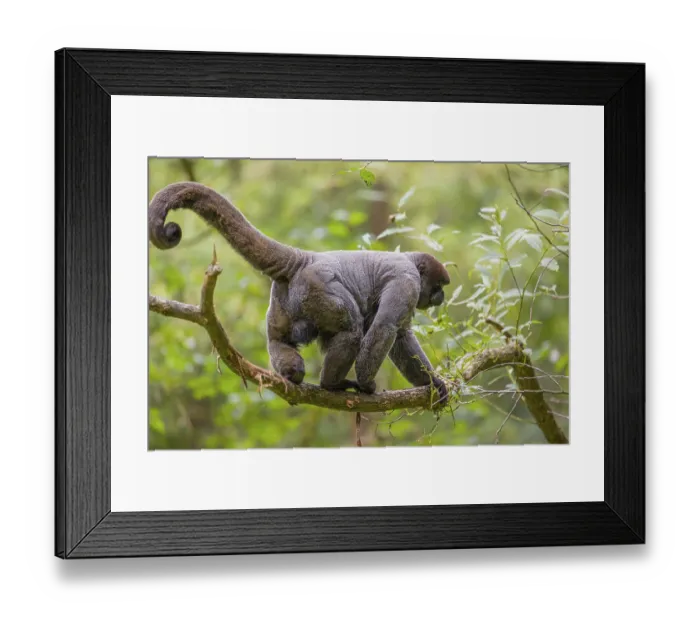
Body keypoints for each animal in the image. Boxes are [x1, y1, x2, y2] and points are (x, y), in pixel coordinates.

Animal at [149, 181, 450, 407]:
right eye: (438, 287)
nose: (441, 298)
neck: (409, 260)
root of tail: (304, 259)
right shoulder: (407, 280)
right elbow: (386, 328)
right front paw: (367, 385)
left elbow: (400, 336)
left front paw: (432, 383)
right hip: (318, 289)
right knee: (351, 330)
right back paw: (332, 384)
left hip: (283, 300)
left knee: (279, 340)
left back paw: (296, 376)